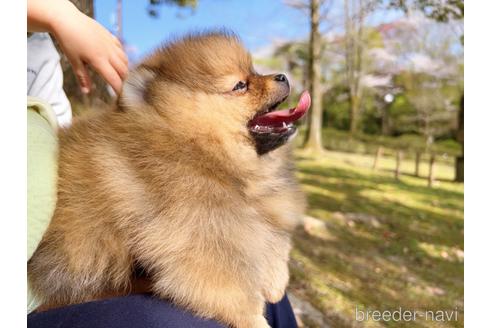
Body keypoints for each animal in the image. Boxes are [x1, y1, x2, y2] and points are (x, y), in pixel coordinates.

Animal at [26, 31, 310, 328]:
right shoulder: (196, 242)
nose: (283, 76)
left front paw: (276, 282)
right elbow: (235, 293)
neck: (198, 149)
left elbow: (276, 242)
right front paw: (258, 321)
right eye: (240, 85)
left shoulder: (256, 213)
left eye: (254, 71)